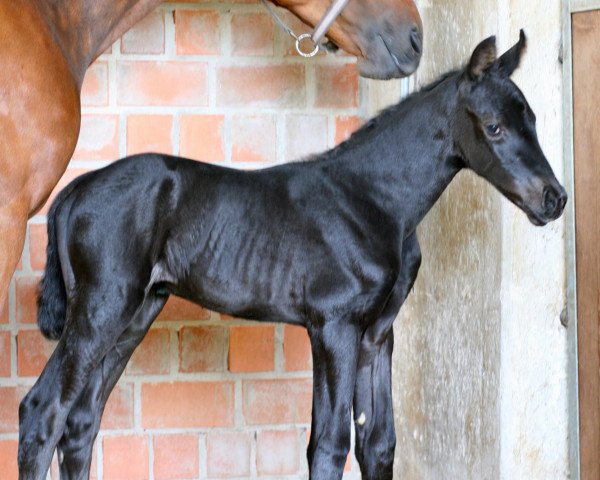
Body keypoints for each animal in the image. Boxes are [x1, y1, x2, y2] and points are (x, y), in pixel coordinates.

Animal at [16, 31, 564, 480]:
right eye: (493, 126)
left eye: (534, 120)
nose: (553, 199)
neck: (373, 199)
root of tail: (74, 190)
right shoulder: (334, 326)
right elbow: (329, 444)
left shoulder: (378, 335)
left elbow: (377, 444)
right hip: (100, 308)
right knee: (43, 412)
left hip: (136, 313)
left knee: (80, 422)